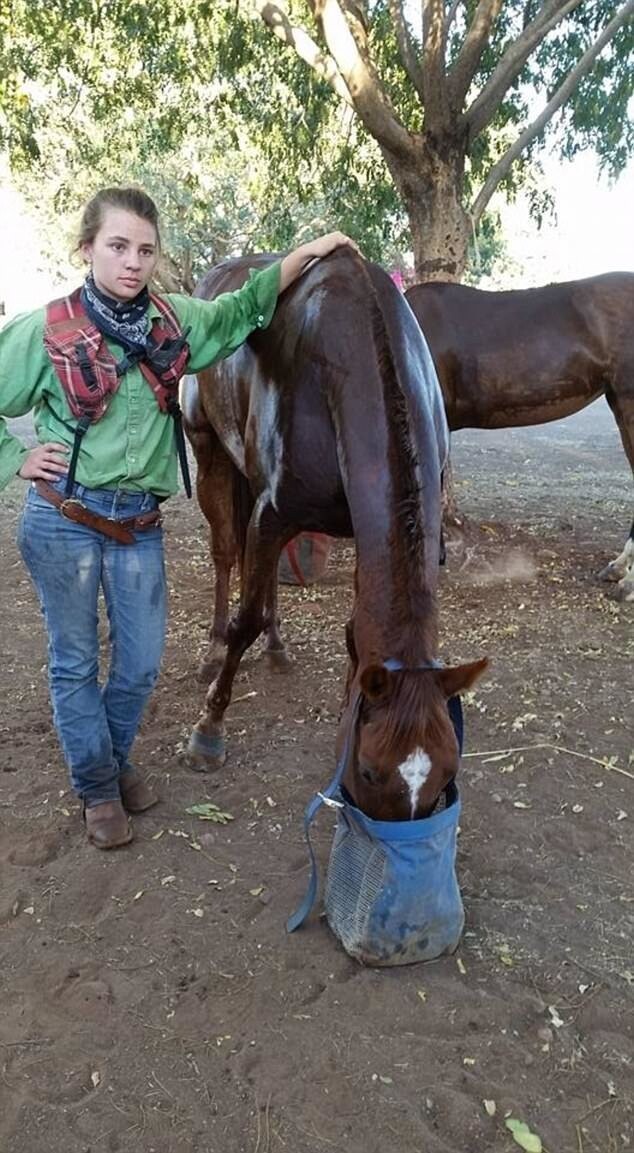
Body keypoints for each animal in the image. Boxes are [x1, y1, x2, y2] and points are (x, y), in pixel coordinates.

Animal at [182, 254, 486, 820]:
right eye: (369, 772)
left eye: (447, 773)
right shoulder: (270, 512)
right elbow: (244, 619)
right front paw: (209, 728)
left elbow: (352, 631)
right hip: (209, 450)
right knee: (226, 554)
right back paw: (213, 650)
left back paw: (277, 648)